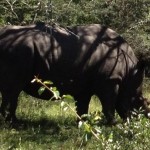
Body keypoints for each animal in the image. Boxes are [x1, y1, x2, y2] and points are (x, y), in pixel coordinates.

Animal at [0, 22, 149, 124]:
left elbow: (82, 106)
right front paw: (113, 124)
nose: (142, 120)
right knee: (13, 89)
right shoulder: (110, 79)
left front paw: (83, 123)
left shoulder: (84, 85)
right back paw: (14, 124)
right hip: (18, 50)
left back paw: (13, 123)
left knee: (11, 91)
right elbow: (109, 104)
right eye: (139, 101)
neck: (129, 73)